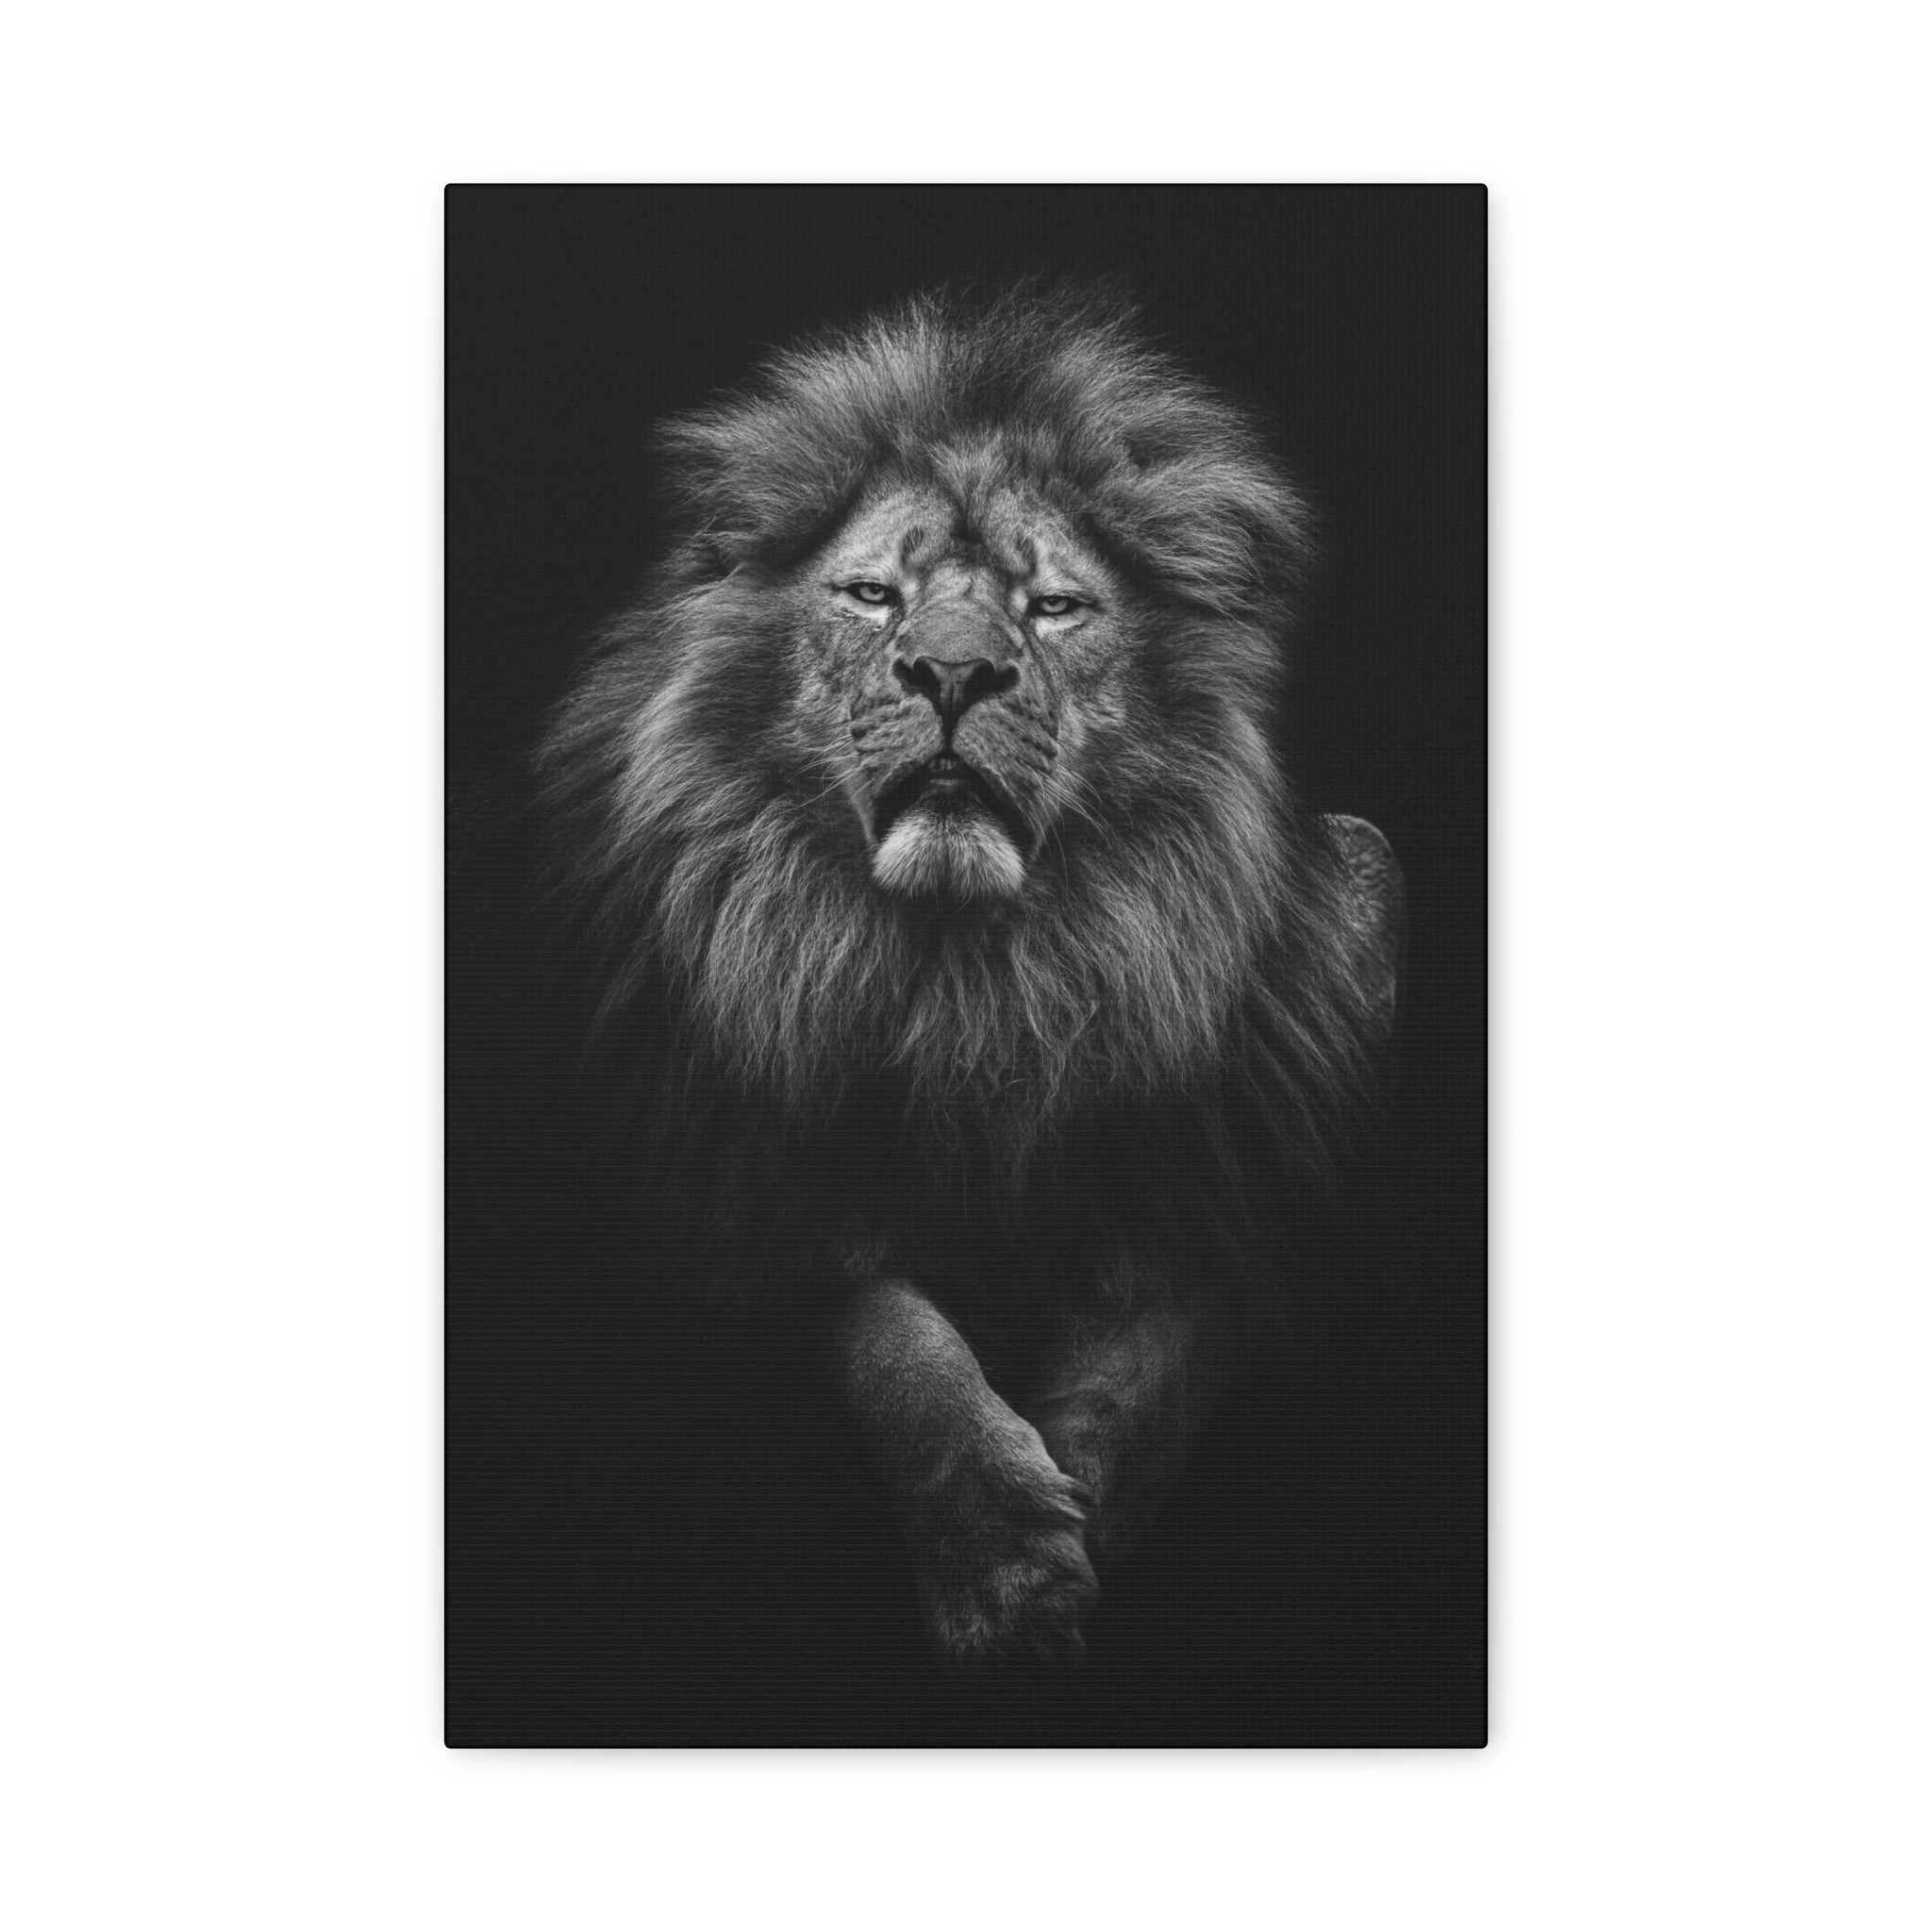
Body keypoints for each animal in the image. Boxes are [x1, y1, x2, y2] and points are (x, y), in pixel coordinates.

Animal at [535, 286, 1402, 1663]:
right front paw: (1003, 1558)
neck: (971, 972)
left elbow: (1156, 1352)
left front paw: (1071, 1521)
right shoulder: (733, 1162)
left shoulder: (1246, 1147)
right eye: (872, 594)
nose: (952, 673)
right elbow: (891, 1338)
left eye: (1051, 608)